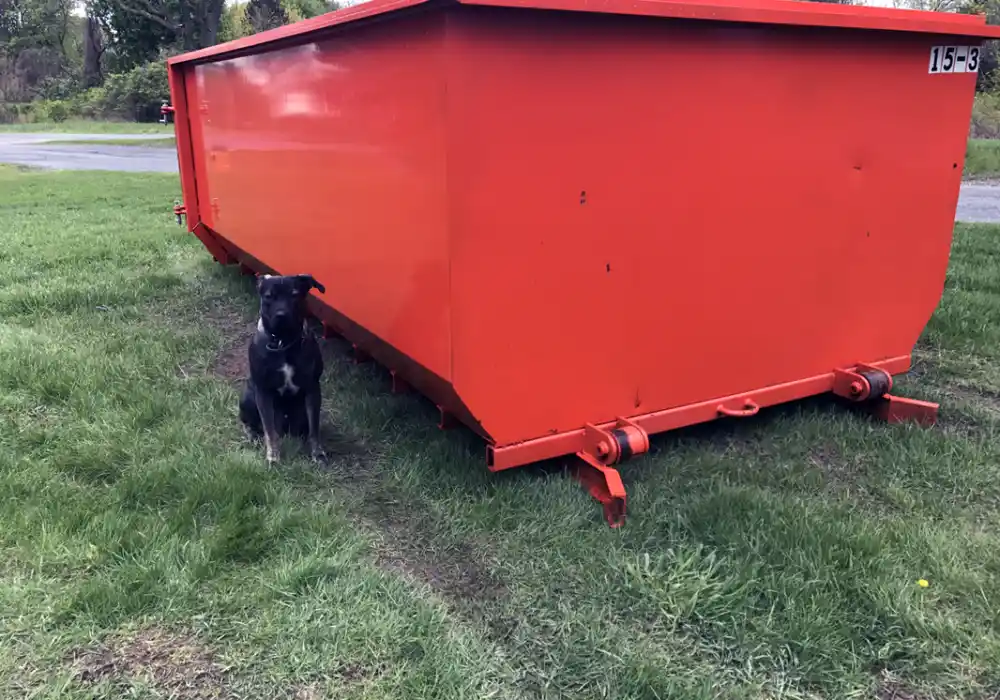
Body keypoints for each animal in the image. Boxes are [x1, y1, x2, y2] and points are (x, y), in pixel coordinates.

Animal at [239, 274, 326, 464]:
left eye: (294, 294)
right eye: (268, 296)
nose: (281, 315)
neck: (283, 343)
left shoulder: (313, 389)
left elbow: (314, 428)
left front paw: (317, 453)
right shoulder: (263, 392)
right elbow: (269, 430)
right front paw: (273, 456)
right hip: (247, 398)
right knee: (250, 423)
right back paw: (252, 434)